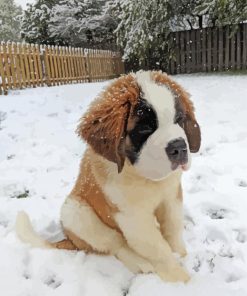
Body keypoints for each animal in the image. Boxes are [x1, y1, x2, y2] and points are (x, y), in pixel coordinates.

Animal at [15, 70, 201, 282]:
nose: (179, 147)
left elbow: (173, 227)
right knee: (116, 244)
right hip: (75, 212)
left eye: (179, 120)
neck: (142, 176)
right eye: (145, 129)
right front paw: (181, 278)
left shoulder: (172, 197)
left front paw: (181, 255)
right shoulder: (132, 217)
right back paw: (140, 263)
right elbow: (157, 247)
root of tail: (70, 240)